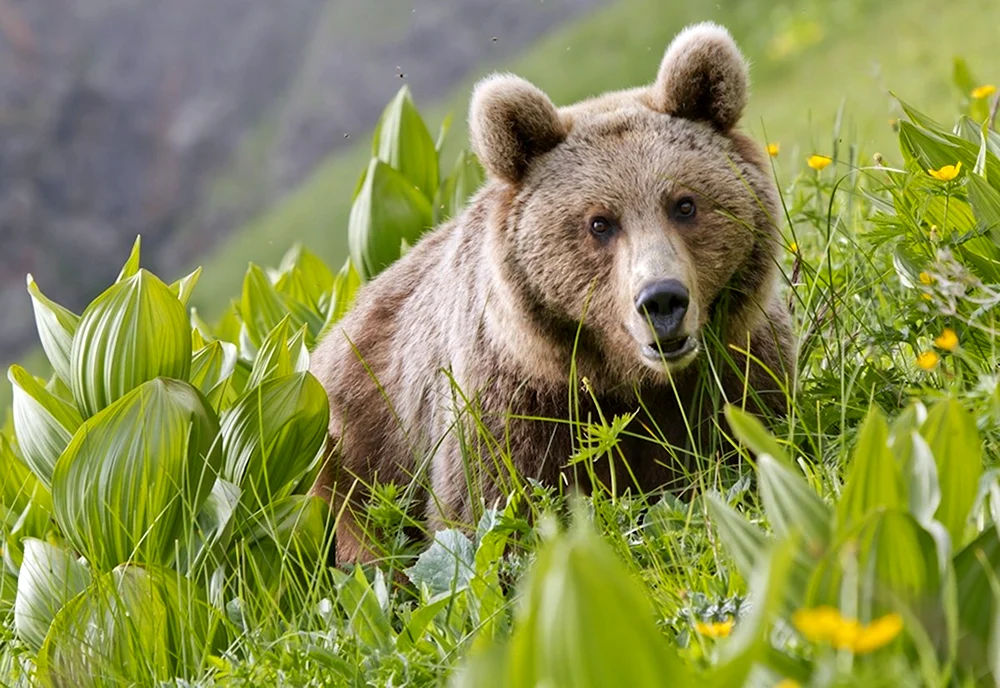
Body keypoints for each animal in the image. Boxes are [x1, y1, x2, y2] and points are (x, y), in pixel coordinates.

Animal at [308, 21, 792, 564]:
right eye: (600, 222)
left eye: (684, 204)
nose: (662, 300)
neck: (627, 382)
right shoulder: (511, 410)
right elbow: (491, 512)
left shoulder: (736, 366)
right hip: (351, 455)